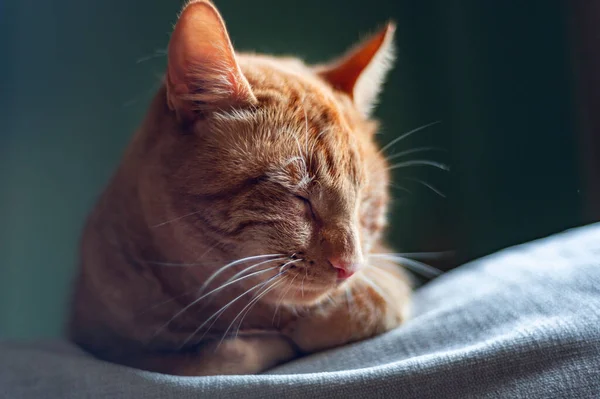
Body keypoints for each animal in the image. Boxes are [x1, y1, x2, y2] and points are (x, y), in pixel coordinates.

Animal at [68, 0, 410, 376]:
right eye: (298, 196)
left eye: (365, 202)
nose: (349, 266)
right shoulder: (103, 345)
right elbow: (221, 357)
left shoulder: (388, 270)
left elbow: (377, 300)